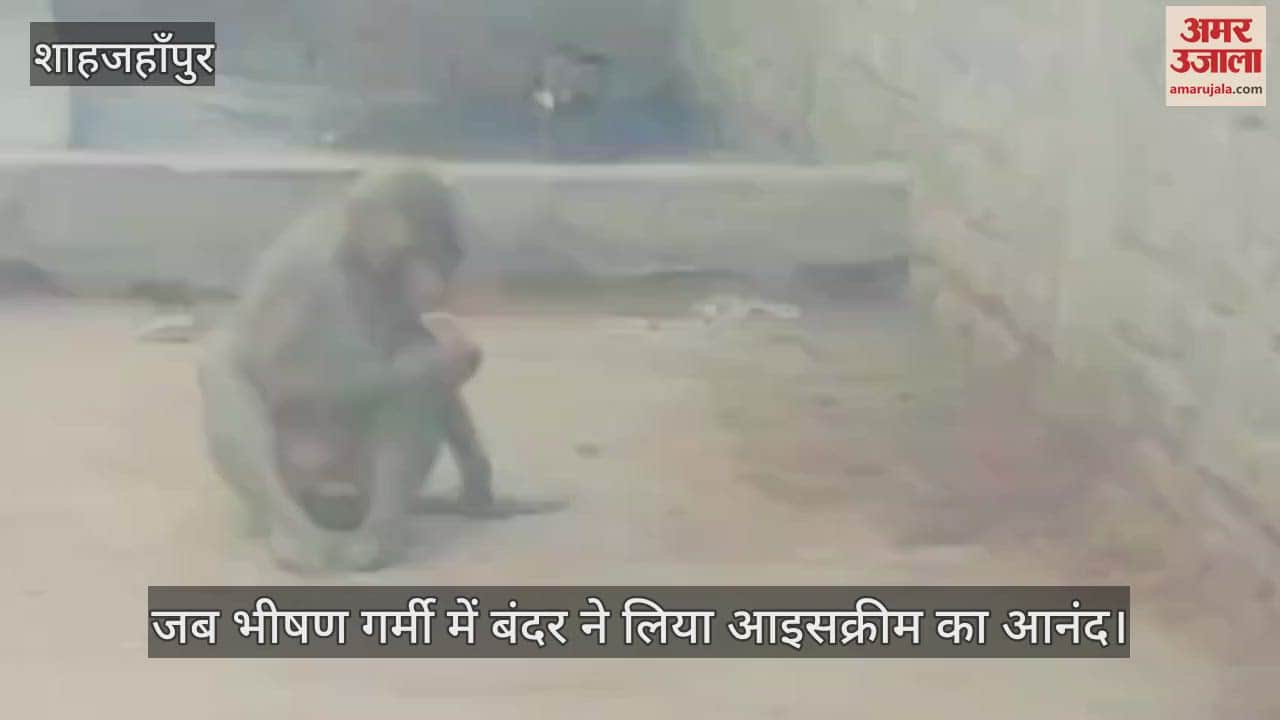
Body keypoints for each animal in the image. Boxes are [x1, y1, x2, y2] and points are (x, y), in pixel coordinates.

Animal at [197, 168, 556, 572]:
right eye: (420, 248)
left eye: (446, 254)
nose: (435, 281)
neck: (357, 258)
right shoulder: (305, 277)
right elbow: (293, 378)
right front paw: (451, 357)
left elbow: (413, 349)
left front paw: (479, 488)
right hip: (300, 468)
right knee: (226, 380)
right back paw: (297, 535)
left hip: (352, 481)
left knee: (411, 389)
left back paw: (380, 534)